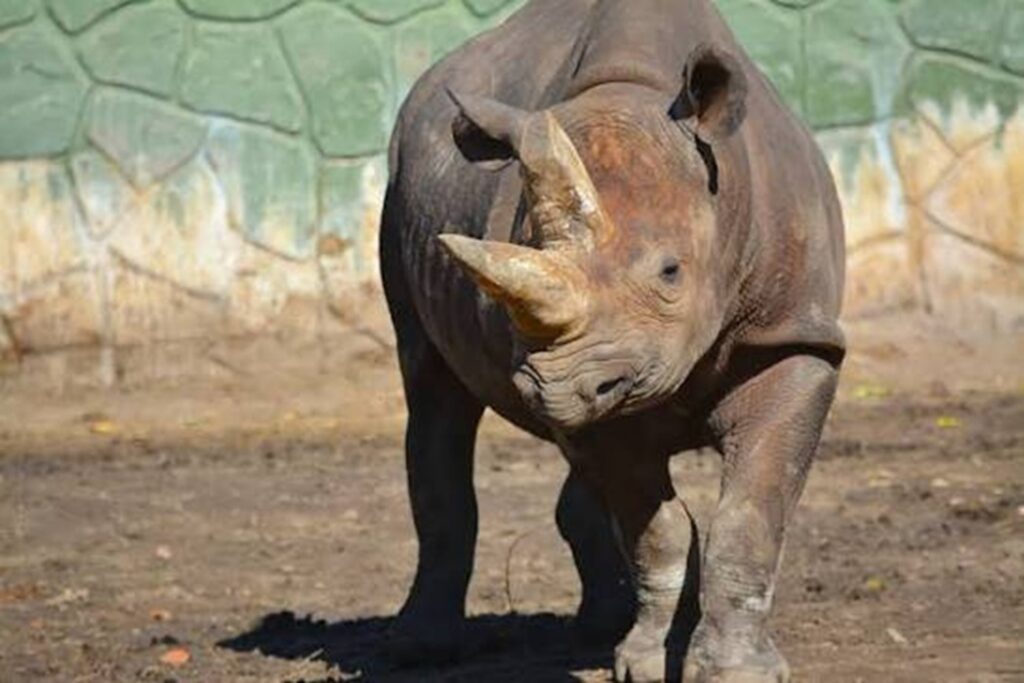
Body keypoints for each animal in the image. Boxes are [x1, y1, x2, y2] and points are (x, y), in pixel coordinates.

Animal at [378, 0, 845, 680]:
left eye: (671, 272)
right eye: (518, 253)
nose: (551, 387)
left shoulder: (794, 337)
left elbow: (750, 514)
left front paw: (734, 670)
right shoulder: (594, 384)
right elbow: (654, 525)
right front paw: (648, 662)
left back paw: (596, 625)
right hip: (396, 201)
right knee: (432, 389)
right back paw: (421, 647)